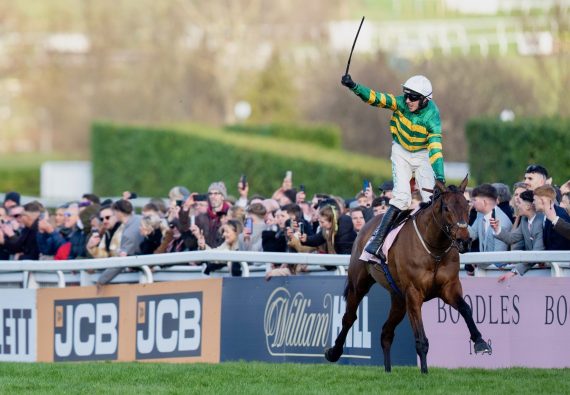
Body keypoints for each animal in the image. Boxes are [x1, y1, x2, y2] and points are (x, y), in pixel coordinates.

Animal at [326, 178, 490, 372]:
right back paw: (334, 352)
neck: (434, 249)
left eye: (468, 206)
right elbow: (421, 339)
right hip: (359, 284)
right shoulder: (414, 293)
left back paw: (388, 370)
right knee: (349, 318)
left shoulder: (449, 287)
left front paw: (480, 342)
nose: (464, 241)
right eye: (446, 208)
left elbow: (466, 309)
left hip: (398, 298)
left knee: (386, 332)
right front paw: (424, 372)